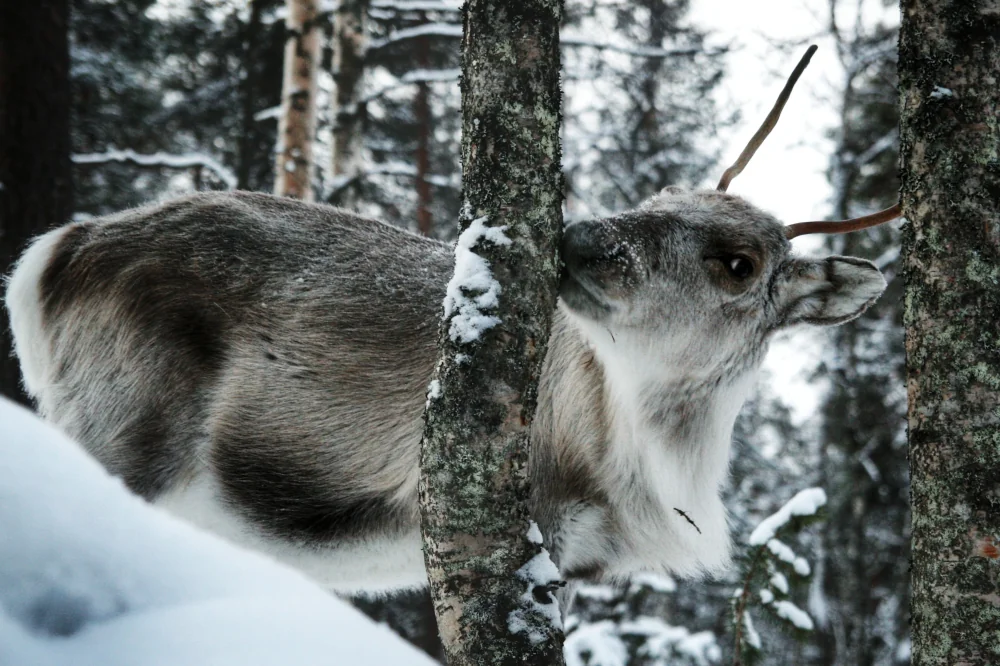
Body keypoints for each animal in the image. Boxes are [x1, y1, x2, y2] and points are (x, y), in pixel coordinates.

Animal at [4, 46, 899, 597]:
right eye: (657, 197)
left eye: (738, 262)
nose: (581, 235)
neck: (657, 466)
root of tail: (54, 252)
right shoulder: (526, 531)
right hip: (120, 431)